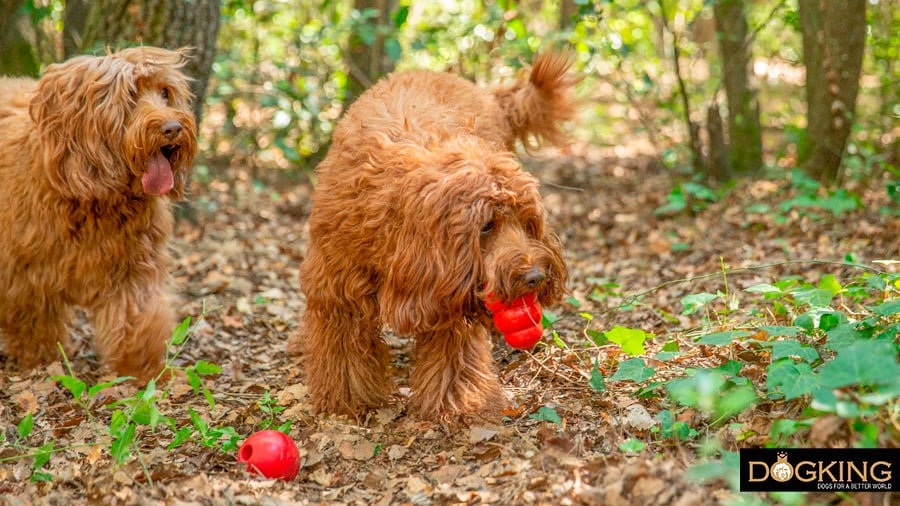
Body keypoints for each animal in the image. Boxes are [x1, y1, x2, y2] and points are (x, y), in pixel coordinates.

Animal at [0, 47, 196, 382]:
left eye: (165, 93)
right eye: (131, 95)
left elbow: (138, 319)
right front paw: (40, 361)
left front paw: (145, 372)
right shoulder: (25, 272)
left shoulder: (132, 267)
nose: (172, 128)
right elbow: (33, 320)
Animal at [292, 53, 580, 422]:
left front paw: (457, 405)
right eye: (486, 226)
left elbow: (452, 356)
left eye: (528, 223)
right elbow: (343, 350)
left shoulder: (449, 292)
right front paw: (347, 401)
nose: (536, 277)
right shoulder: (339, 289)